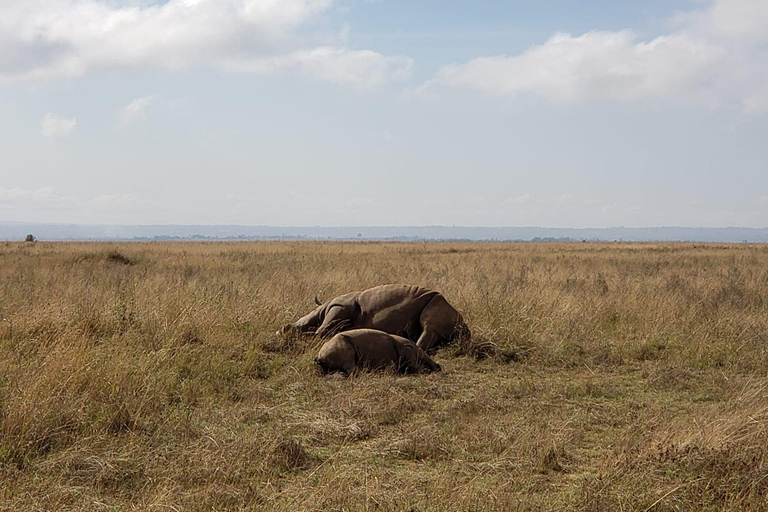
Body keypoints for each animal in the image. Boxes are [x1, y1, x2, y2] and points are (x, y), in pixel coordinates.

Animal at [278, 284, 464, 352]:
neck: (322, 308)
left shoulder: (340, 306)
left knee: (429, 326)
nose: (283, 329)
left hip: (437, 303)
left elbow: (322, 329)